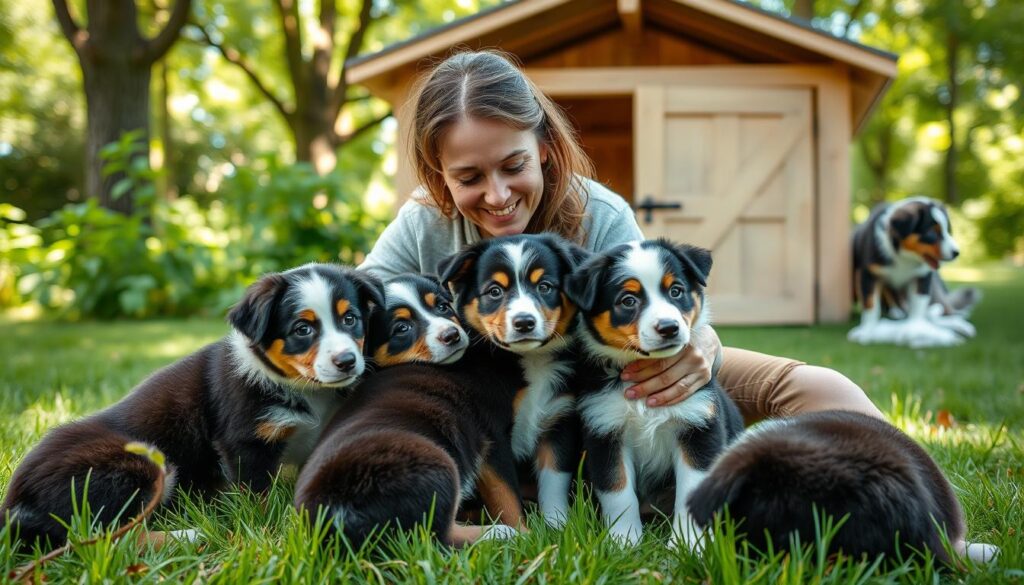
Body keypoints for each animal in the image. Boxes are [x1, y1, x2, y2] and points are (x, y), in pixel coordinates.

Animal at [1, 264, 385, 549]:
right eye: (302, 329)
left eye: (350, 319)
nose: (347, 362)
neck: (302, 387)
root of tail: (15, 504)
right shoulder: (245, 443)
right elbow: (257, 498)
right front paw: (266, 530)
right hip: (140, 464)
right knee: (105, 539)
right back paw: (194, 534)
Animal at [569, 240, 745, 553]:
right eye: (628, 300)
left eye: (676, 291)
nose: (669, 327)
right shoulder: (604, 431)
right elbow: (618, 493)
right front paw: (624, 543)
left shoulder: (698, 426)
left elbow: (691, 492)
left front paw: (690, 545)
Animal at [847, 196, 974, 348]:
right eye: (931, 233)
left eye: (947, 231)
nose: (956, 253)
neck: (904, 257)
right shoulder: (869, 274)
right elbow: (871, 305)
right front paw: (868, 330)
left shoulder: (922, 276)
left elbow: (918, 305)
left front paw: (915, 328)